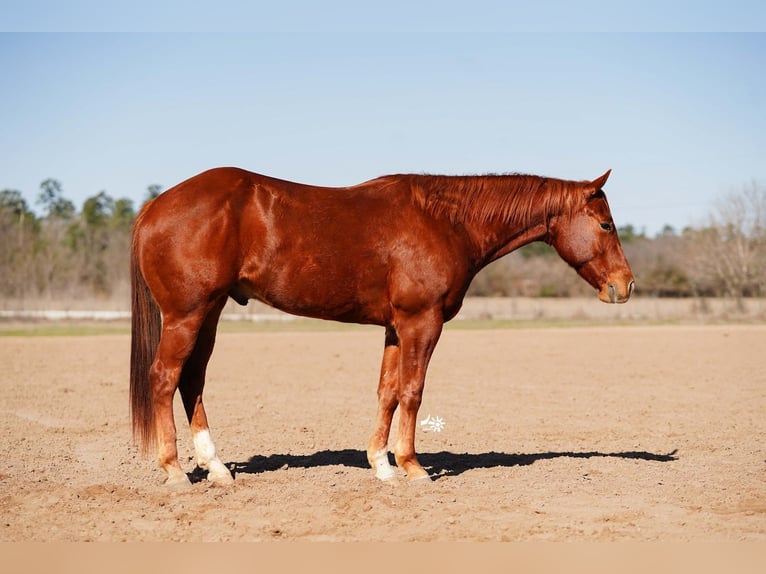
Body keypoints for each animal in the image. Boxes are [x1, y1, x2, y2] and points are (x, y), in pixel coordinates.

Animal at [130, 167, 634, 487]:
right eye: (606, 224)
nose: (624, 285)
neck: (445, 221)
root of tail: (155, 205)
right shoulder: (421, 322)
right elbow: (413, 391)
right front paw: (413, 467)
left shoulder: (396, 328)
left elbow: (388, 392)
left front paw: (382, 465)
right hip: (187, 315)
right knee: (164, 378)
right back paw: (175, 471)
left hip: (209, 312)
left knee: (192, 380)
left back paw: (216, 469)